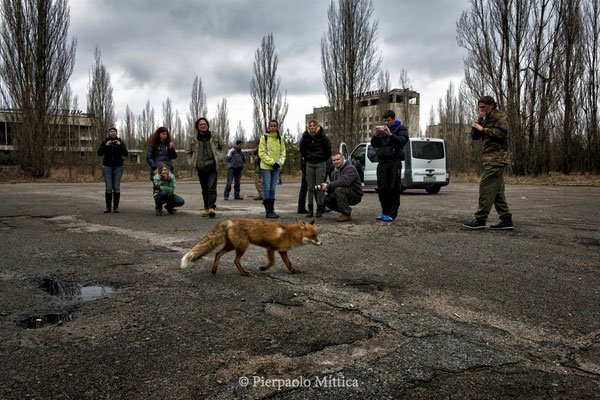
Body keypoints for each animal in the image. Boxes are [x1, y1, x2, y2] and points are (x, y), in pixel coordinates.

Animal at [180, 219, 322, 276]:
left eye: (317, 235)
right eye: (313, 236)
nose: (321, 244)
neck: (289, 234)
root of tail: (231, 220)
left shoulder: (283, 251)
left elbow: (289, 264)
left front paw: (294, 271)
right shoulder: (270, 248)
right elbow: (271, 262)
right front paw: (263, 268)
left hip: (232, 246)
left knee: (217, 254)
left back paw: (214, 270)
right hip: (242, 247)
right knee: (235, 261)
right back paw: (243, 273)